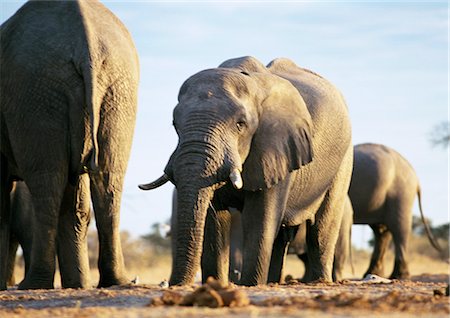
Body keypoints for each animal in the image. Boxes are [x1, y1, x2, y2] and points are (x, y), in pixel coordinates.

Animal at [0, 0, 139, 290]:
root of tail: (86, 44)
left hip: (34, 92)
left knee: (48, 183)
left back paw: (34, 284)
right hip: (118, 90)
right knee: (108, 179)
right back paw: (110, 282)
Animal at [140, 56, 352, 286]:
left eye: (240, 124)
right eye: (174, 124)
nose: (176, 284)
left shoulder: (275, 146)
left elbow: (259, 217)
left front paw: (250, 285)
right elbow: (215, 220)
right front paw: (217, 284)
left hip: (343, 160)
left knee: (322, 226)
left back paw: (319, 281)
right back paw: (273, 282)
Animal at [350, 143, 442, 280]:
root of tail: (415, 176)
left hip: (401, 192)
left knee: (399, 228)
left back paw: (398, 276)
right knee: (381, 231)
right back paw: (374, 274)